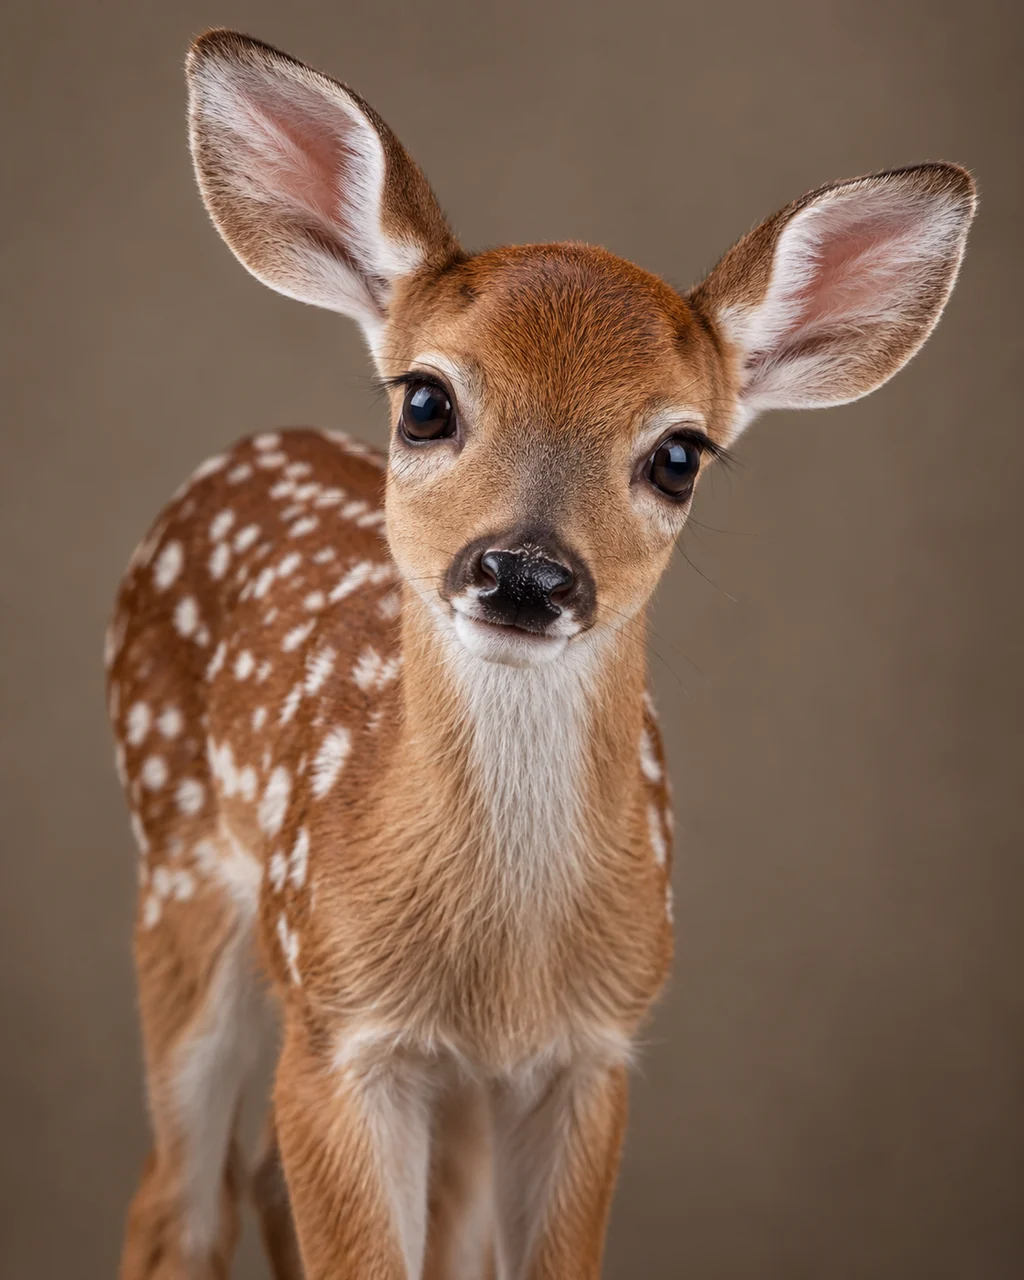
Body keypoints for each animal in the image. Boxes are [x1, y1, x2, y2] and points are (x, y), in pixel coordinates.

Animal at [105, 27, 976, 1280]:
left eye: (678, 453)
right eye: (425, 399)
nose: (523, 570)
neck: (500, 957)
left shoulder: (591, 1046)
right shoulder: (337, 1022)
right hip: (179, 867)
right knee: (178, 1193)